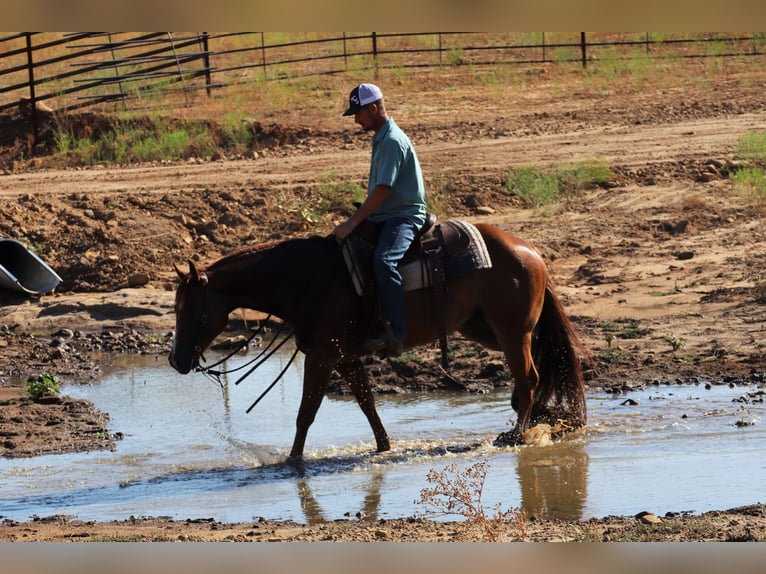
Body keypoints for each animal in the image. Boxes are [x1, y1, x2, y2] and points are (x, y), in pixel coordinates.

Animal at [170, 225, 588, 464]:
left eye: (191, 309)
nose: (175, 361)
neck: (306, 279)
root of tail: (530, 251)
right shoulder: (344, 358)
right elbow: (368, 404)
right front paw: (384, 447)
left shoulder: (322, 356)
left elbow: (306, 412)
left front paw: (292, 461)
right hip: (488, 329)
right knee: (533, 371)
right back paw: (538, 420)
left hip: (511, 330)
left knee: (529, 377)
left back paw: (517, 434)